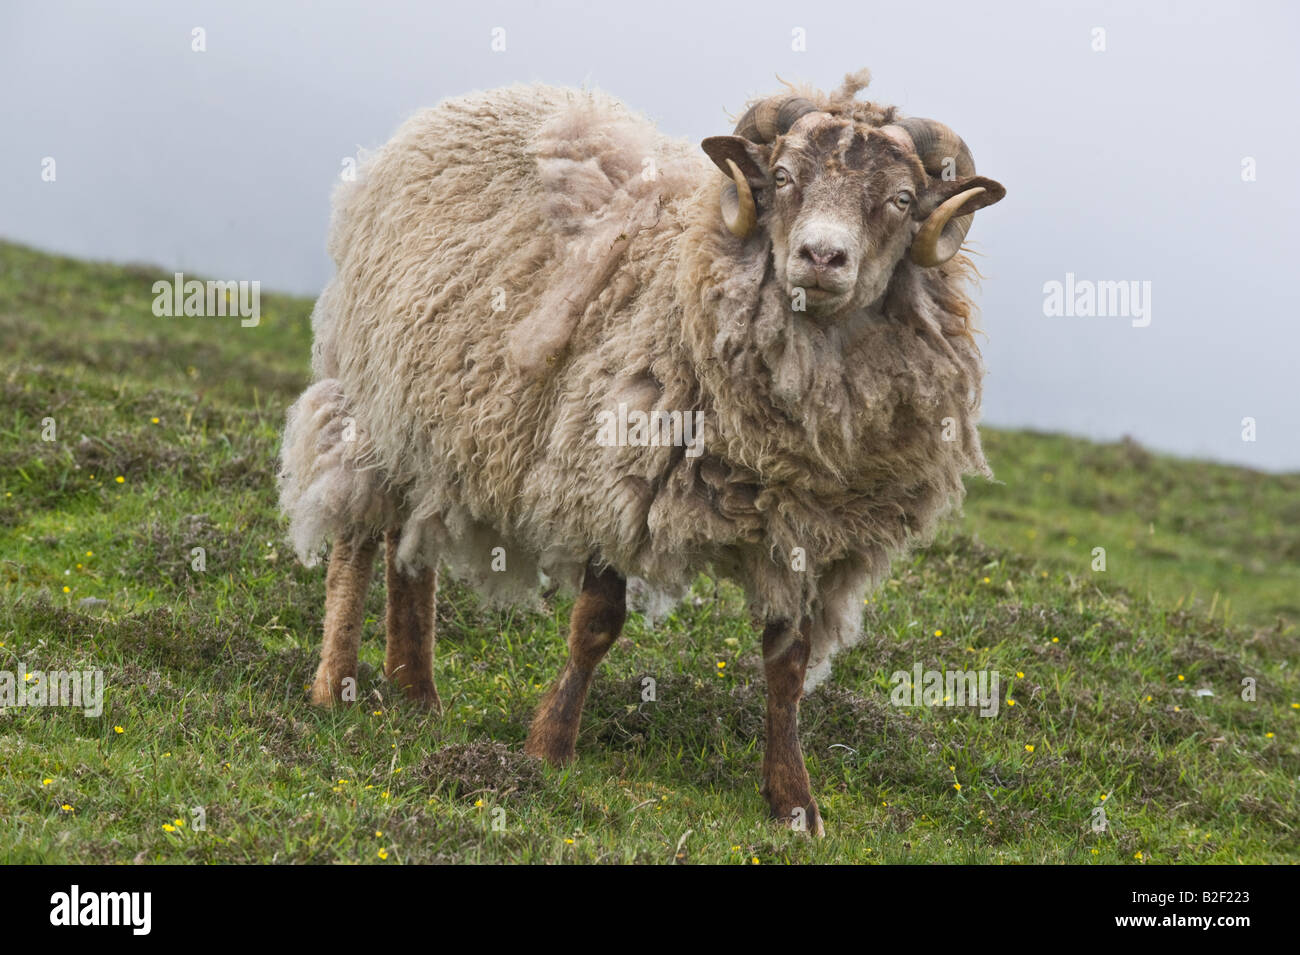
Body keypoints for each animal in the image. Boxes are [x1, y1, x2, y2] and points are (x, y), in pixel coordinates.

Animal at [276, 70, 1003, 836]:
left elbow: (788, 668)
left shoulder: (803, 533)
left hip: (429, 416)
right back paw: (336, 686)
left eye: (900, 200)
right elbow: (595, 626)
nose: (822, 258)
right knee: (357, 530)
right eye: (781, 177)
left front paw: (794, 803)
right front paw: (548, 748)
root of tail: (469, 100)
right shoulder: (614, 479)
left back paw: (416, 692)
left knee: (408, 547)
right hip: (370, 394)